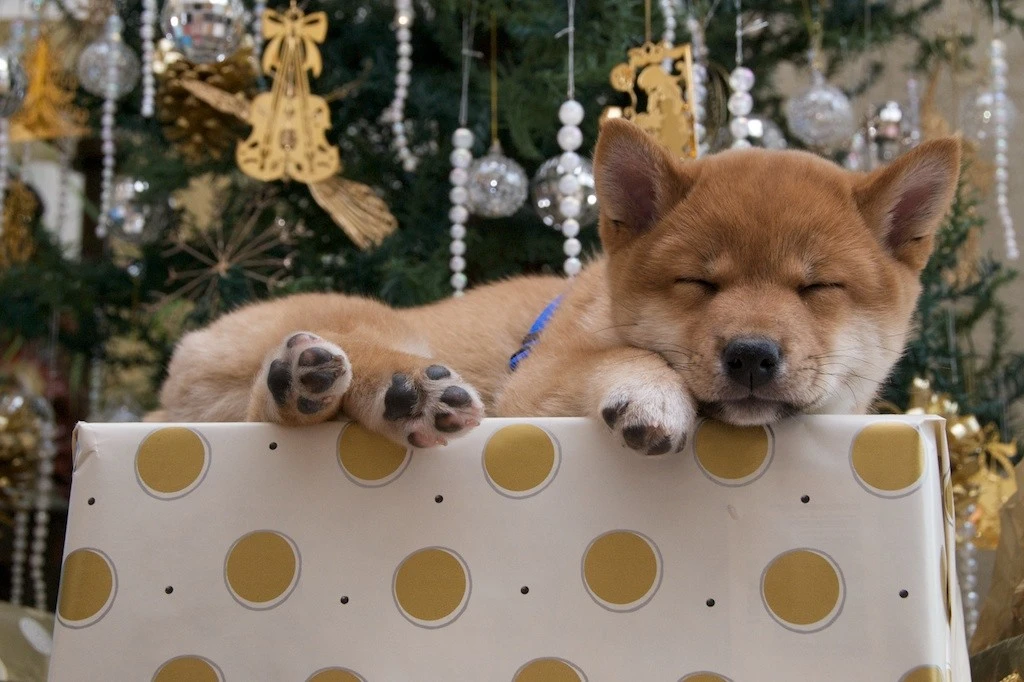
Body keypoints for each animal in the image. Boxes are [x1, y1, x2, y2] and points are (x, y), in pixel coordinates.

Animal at [156, 119, 961, 454]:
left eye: (818, 286)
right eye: (698, 282)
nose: (752, 355)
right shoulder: (532, 386)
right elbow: (629, 359)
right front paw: (651, 391)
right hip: (384, 325)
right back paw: (372, 386)